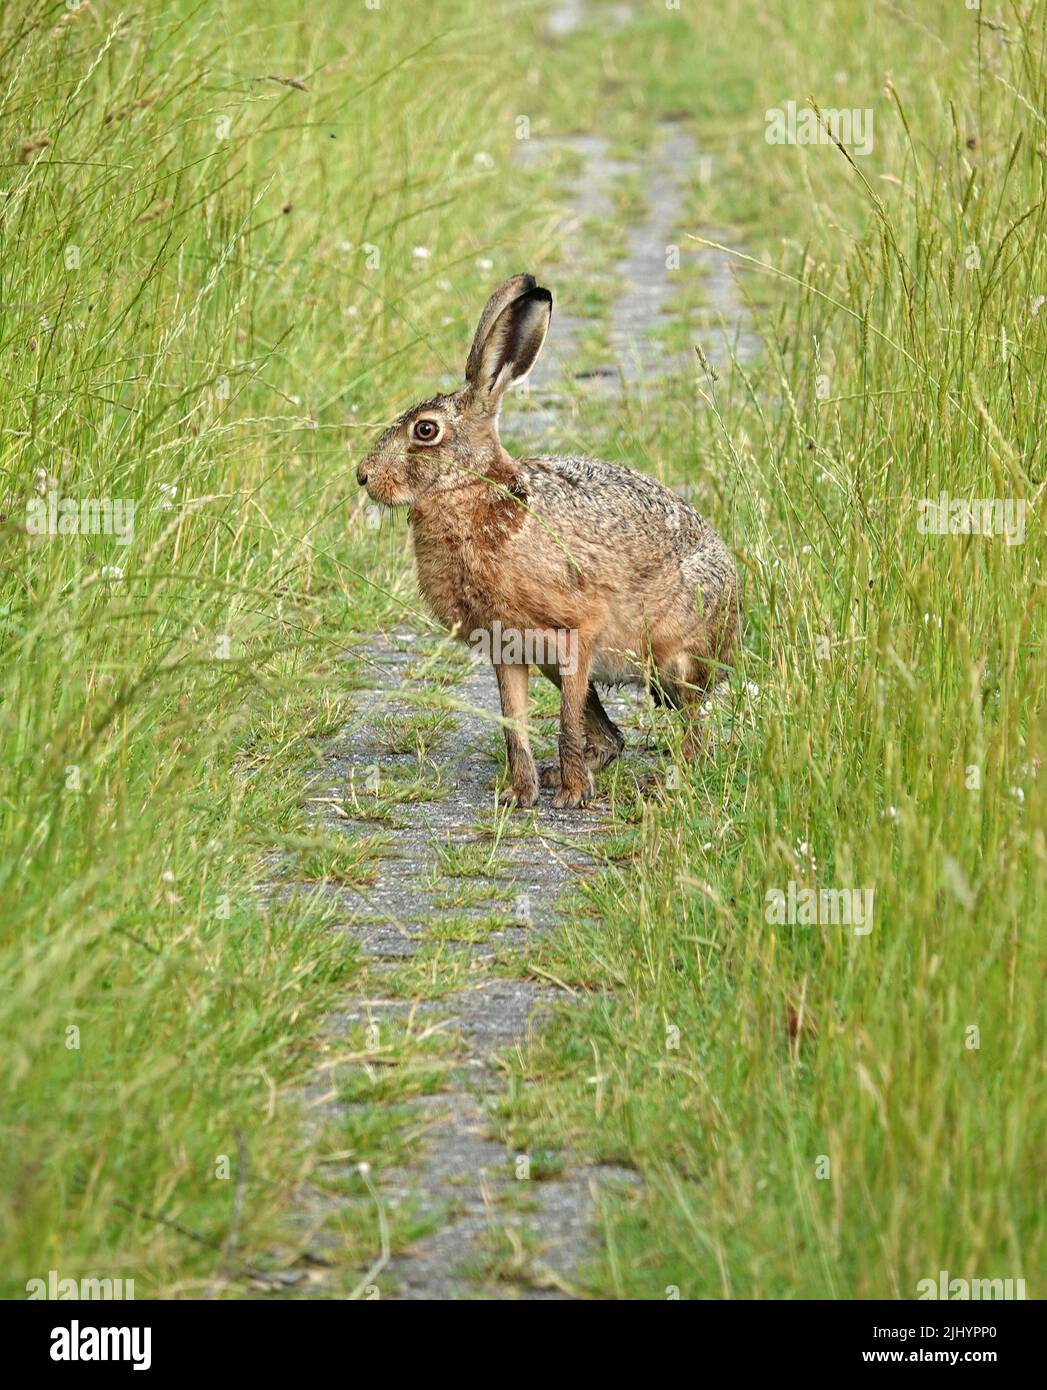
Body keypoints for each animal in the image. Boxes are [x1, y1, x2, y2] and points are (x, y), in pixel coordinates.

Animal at [356, 273, 739, 809]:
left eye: (425, 430)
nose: (364, 477)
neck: (478, 491)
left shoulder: (577, 632)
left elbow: (564, 723)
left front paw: (573, 798)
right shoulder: (508, 648)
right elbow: (513, 725)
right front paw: (520, 794)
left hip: (675, 656)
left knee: (692, 731)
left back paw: (659, 783)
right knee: (615, 738)